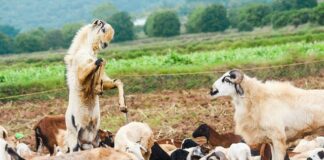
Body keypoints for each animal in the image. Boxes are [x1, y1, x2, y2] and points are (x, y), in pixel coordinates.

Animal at [64, 19, 127, 152]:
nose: (105, 44)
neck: (85, 50)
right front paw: (98, 89)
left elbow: (116, 81)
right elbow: (100, 61)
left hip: (92, 141)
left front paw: (123, 106)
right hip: (75, 143)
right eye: (103, 29)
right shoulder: (82, 77)